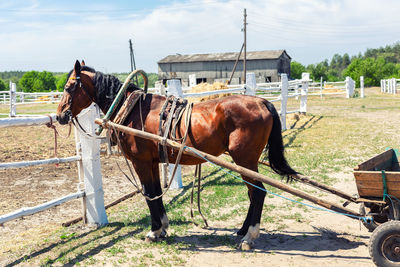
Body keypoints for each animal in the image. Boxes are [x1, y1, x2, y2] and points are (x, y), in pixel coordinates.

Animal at [56, 60, 296, 249]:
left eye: (69, 87)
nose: (59, 115)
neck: (132, 110)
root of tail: (261, 102)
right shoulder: (152, 162)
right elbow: (155, 192)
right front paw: (162, 228)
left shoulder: (141, 162)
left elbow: (149, 193)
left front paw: (154, 231)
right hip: (245, 163)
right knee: (252, 193)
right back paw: (243, 230)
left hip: (245, 160)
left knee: (258, 193)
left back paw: (249, 236)